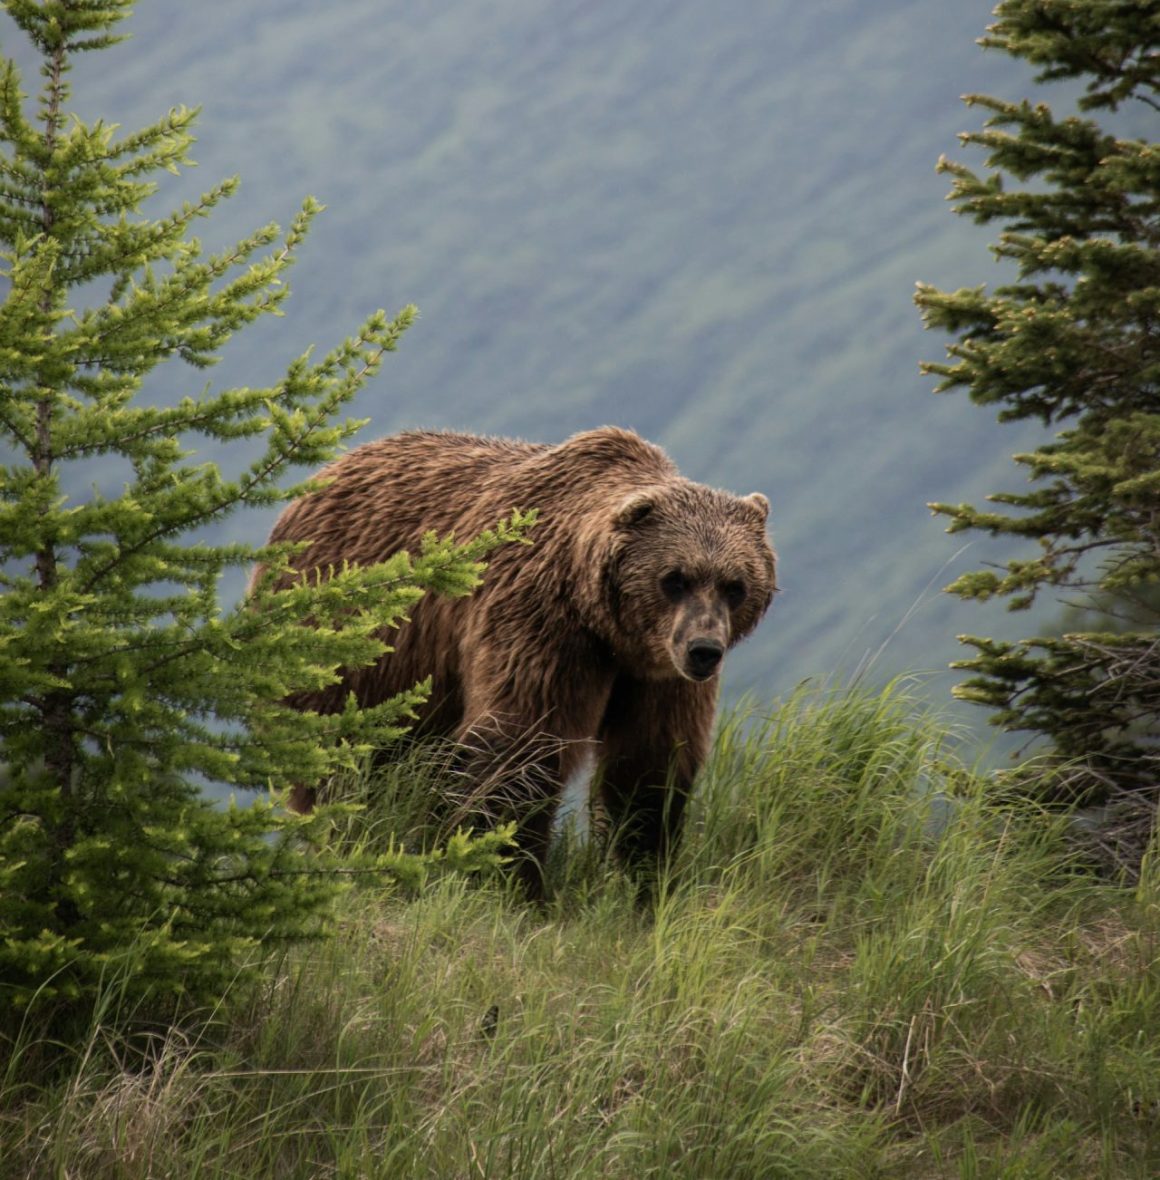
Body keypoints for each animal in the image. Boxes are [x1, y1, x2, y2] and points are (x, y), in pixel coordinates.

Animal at [254, 426, 777, 897]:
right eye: (675, 578)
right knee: (345, 763)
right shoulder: (541, 624)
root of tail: (319, 478)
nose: (704, 650)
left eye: (735, 585)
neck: (606, 627)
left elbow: (648, 764)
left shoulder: (656, 674)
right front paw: (509, 880)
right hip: (350, 648)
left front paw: (640, 878)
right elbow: (520, 745)